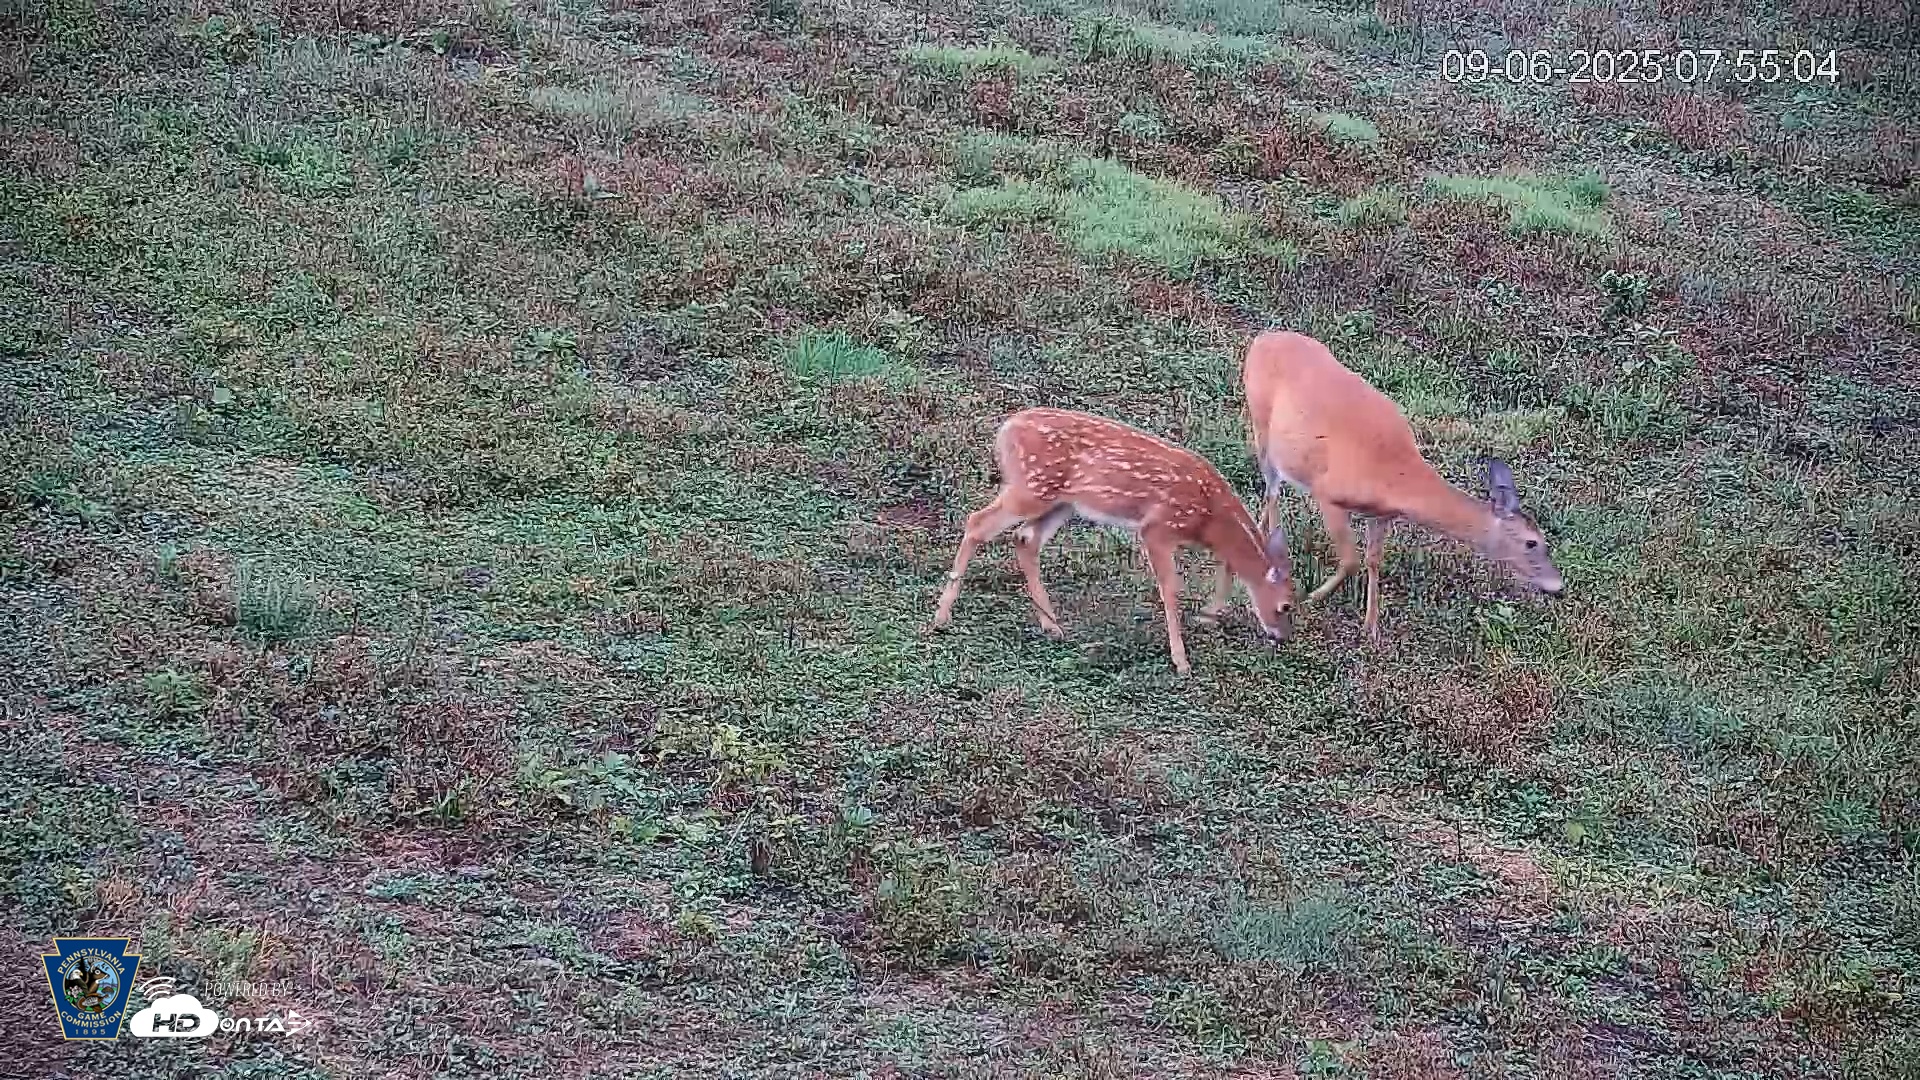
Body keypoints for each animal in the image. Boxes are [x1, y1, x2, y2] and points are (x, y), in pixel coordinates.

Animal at [931, 407, 1297, 675]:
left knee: (1024, 539)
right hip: (1031, 488)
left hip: (1061, 502)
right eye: (1286, 606)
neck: (1209, 517)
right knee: (977, 523)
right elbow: (1171, 588)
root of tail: (1005, 430)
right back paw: (941, 617)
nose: (1283, 638)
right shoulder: (1158, 527)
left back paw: (1052, 626)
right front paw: (1181, 661)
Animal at [1242, 330, 1564, 640]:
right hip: (1261, 423)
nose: (1558, 586)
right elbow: (1351, 560)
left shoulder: (1382, 515)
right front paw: (1313, 596)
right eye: (1532, 542)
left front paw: (1371, 626)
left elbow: (1372, 560)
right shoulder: (1328, 494)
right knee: (1272, 489)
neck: (1395, 479)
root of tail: (1261, 339)